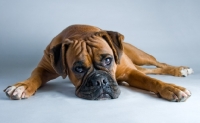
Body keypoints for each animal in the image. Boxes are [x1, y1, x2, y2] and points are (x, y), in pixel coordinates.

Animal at [3, 24, 194, 101]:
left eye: (108, 60)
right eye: (78, 69)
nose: (100, 81)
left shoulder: (130, 72)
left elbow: (152, 81)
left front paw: (171, 88)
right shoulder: (44, 67)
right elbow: (34, 77)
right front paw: (21, 86)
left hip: (140, 56)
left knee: (158, 64)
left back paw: (180, 69)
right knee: (149, 70)